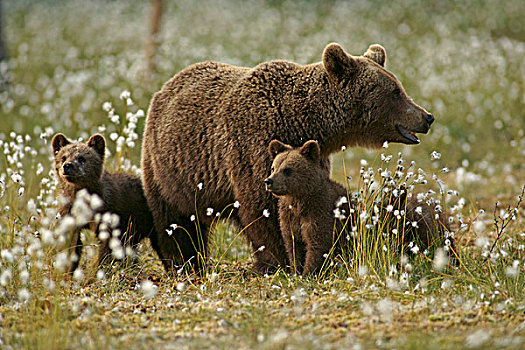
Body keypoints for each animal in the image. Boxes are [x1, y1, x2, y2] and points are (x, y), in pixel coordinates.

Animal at [141, 43, 432, 274]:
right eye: (395, 91)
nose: (427, 117)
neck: (307, 121)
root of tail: (166, 86)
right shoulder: (254, 147)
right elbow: (264, 209)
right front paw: (278, 262)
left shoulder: (312, 155)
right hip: (170, 168)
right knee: (175, 220)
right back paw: (184, 262)